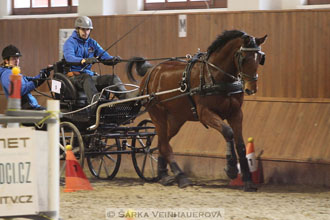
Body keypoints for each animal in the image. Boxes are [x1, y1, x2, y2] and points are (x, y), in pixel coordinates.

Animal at [126, 30, 266, 192]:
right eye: (243, 58)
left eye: (260, 58)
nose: (251, 88)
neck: (215, 75)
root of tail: (151, 72)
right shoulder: (205, 114)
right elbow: (228, 132)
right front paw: (231, 168)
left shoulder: (236, 114)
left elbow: (241, 145)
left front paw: (248, 181)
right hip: (157, 114)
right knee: (164, 144)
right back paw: (181, 177)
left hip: (175, 120)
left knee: (162, 142)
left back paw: (164, 175)